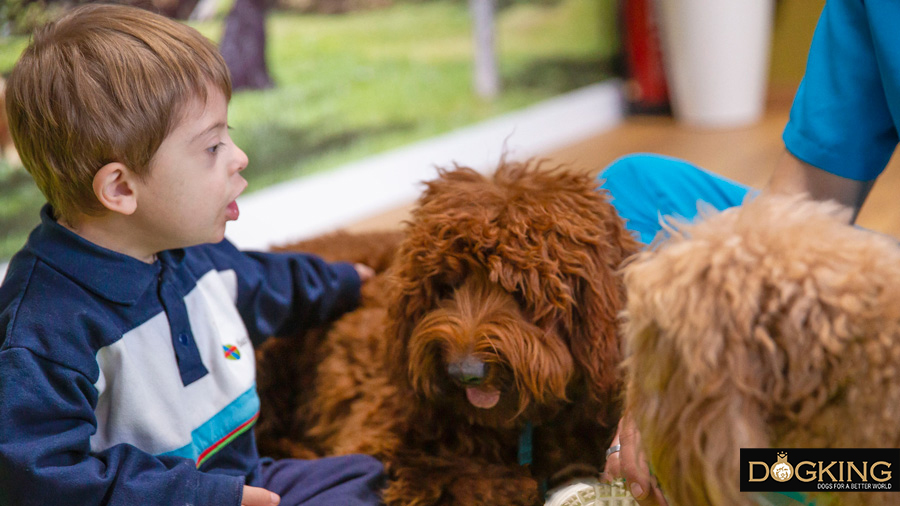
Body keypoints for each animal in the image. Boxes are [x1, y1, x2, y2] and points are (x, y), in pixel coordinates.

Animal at [256, 160, 644, 504]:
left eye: (519, 290)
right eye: (447, 286)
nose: (464, 373)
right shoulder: (378, 436)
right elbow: (453, 476)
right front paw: (516, 483)